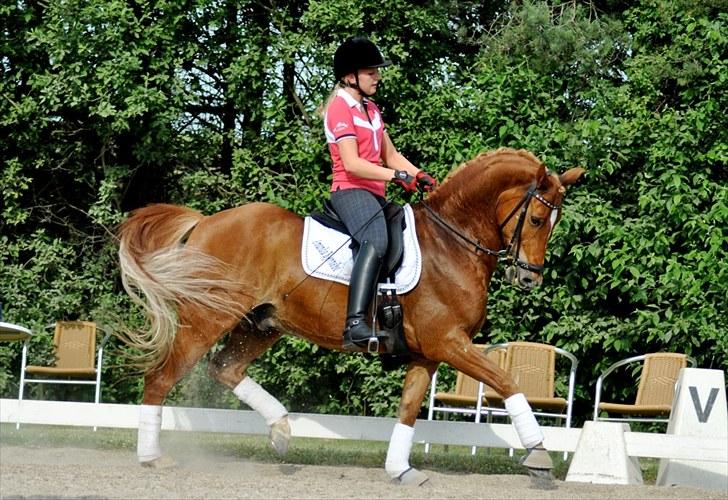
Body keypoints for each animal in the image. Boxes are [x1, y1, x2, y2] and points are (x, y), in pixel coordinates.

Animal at [118, 147, 585, 485]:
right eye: (537, 218)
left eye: (555, 221)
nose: (528, 279)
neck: (451, 243)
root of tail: (205, 223)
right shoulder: (450, 342)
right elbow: (507, 381)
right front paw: (539, 456)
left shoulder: (429, 352)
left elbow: (409, 408)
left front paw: (400, 469)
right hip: (207, 318)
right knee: (161, 378)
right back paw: (152, 458)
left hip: (261, 324)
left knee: (225, 369)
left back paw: (281, 429)